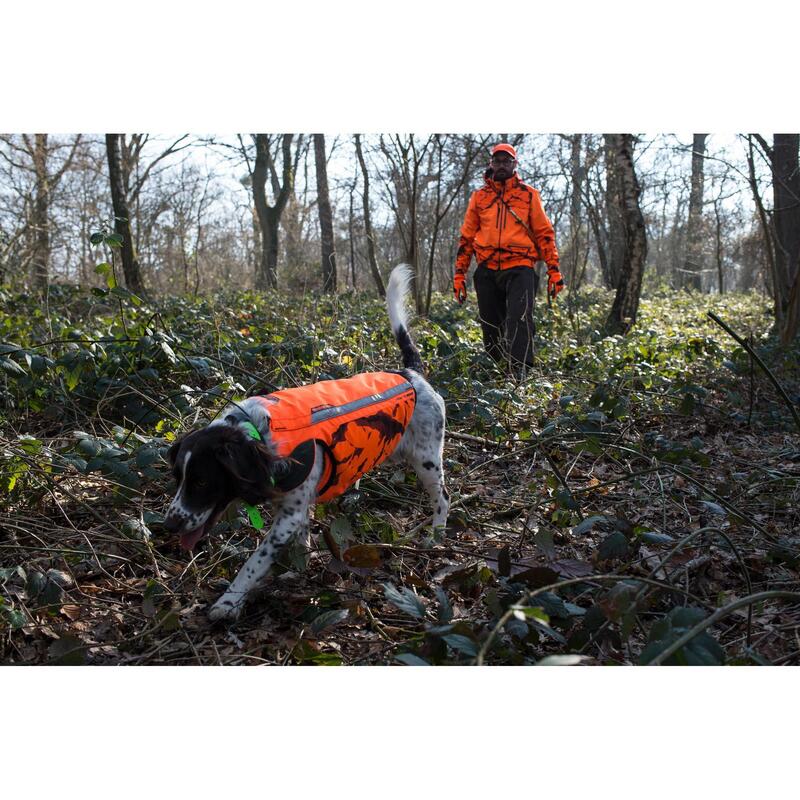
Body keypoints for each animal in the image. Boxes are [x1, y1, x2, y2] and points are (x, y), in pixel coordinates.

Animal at [165, 266, 446, 620]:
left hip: (427, 460)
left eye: (202, 481)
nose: (168, 525)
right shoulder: (293, 507)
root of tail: (410, 373)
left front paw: (229, 601)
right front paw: (296, 573)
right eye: (177, 478)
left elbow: (255, 562)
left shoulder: (289, 515)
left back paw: (436, 536)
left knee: (443, 499)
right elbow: (301, 545)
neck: (258, 433)